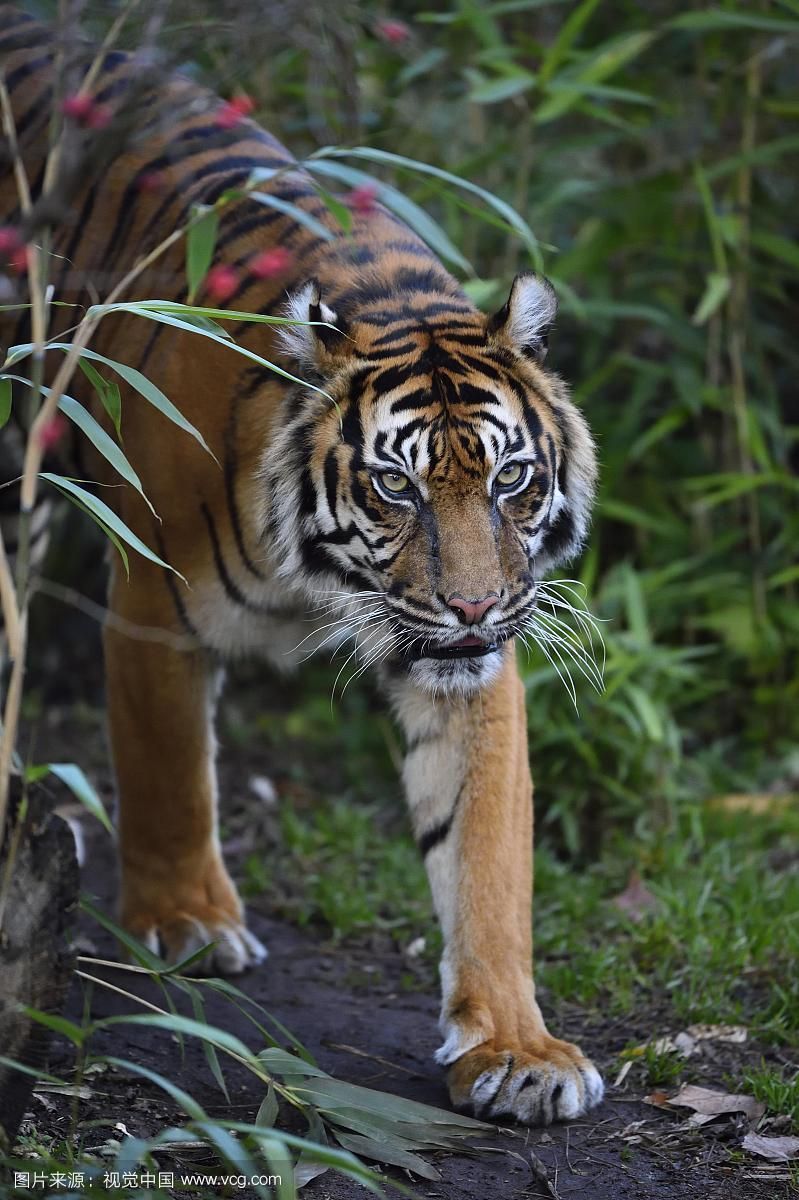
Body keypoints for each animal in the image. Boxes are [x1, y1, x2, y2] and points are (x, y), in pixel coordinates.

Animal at [0, 7, 603, 1126]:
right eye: (396, 486)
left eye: (509, 478)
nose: (471, 605)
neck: (321, 580)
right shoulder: (150, 601)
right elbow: (167, 771)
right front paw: (188, 921)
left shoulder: (467, 670)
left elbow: (486, 855)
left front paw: (514, 1047)